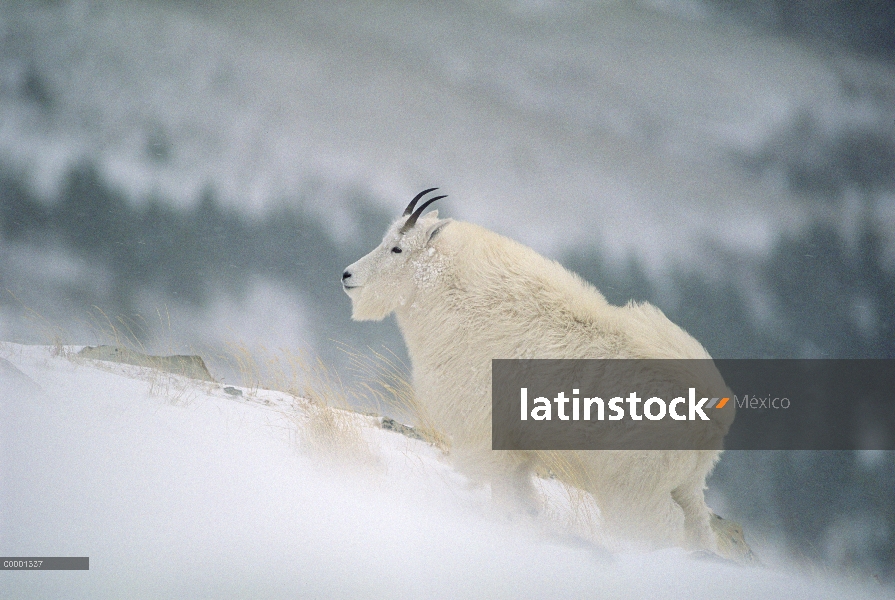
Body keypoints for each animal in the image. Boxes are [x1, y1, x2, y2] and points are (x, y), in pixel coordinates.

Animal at [344, 190, 748, 560]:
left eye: (397, 248)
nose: (347, 275)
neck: (459, 298)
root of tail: (714, 409)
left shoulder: (484, 429)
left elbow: (501, 484)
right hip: (686, 482)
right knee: (697, 525)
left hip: (635, 481)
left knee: (660, 524)